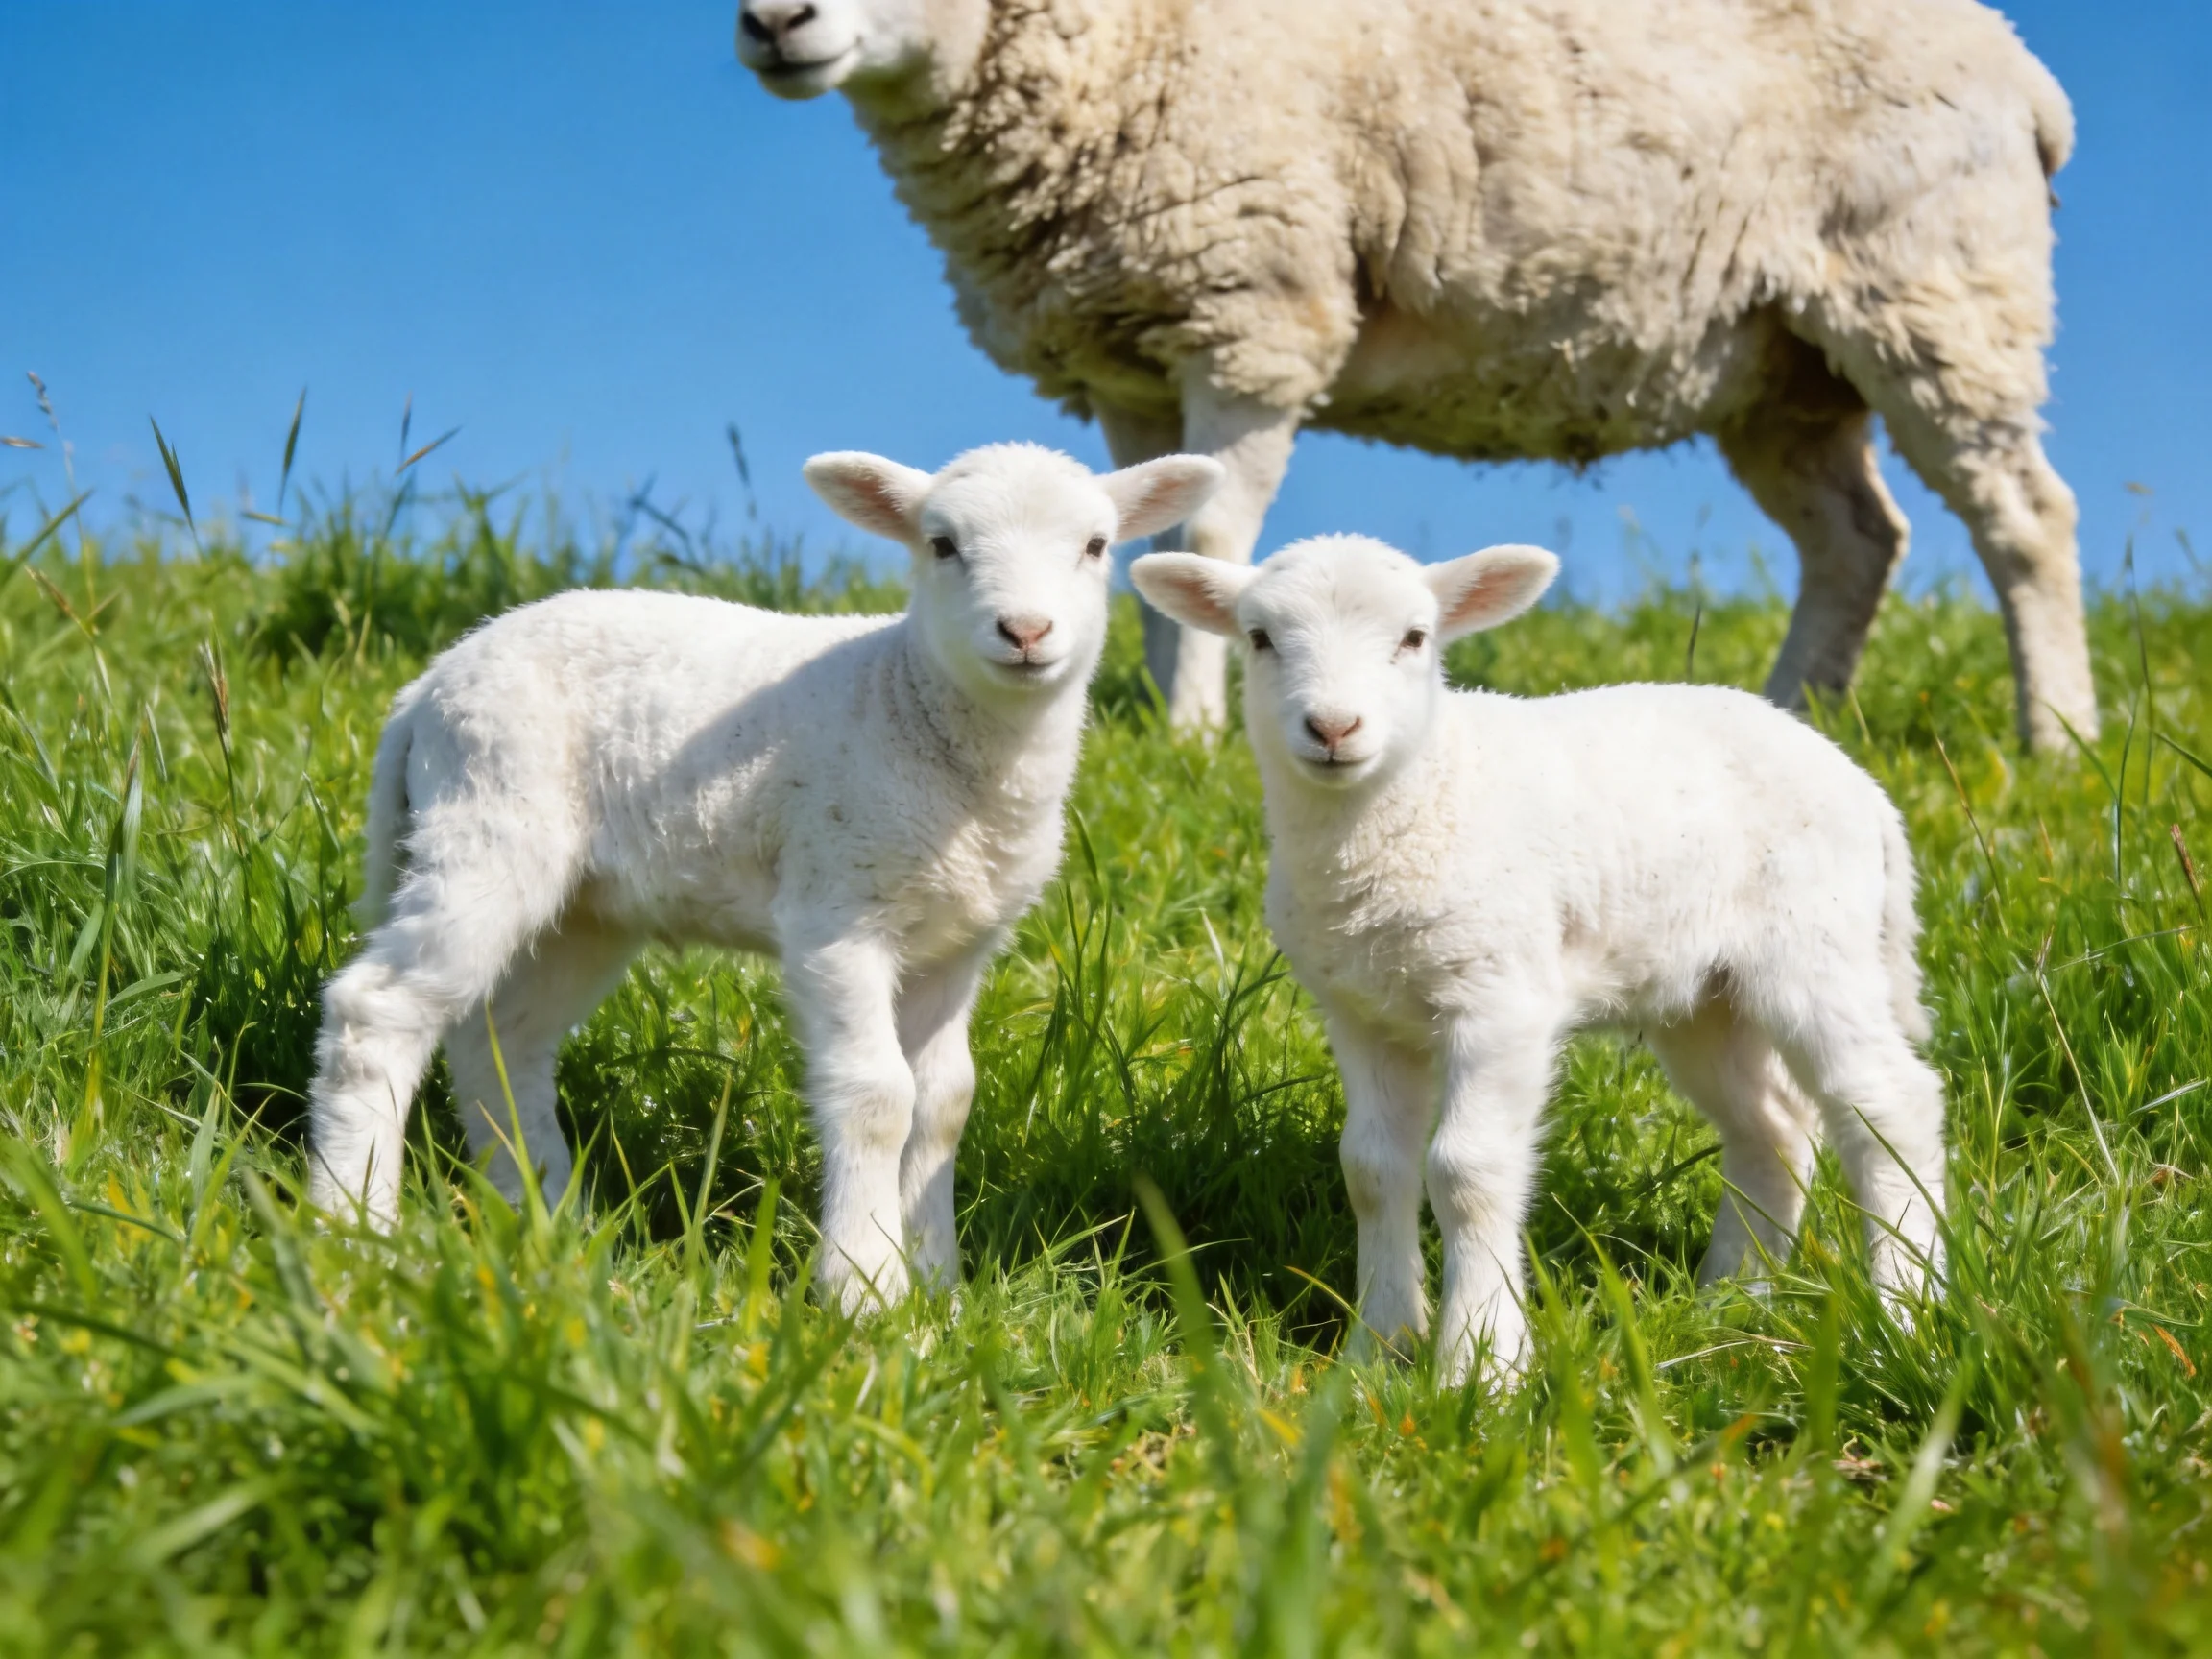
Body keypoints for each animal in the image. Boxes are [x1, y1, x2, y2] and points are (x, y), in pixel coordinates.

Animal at [306, 442, 1223, 1311]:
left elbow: (943, 1105)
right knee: (376, 1014)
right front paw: (865, 1290)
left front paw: (940, 1286)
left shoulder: (956, 944)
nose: (1026, 631)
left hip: (583, 908)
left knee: (503, 1039)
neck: (909, 699)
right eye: (942, 544)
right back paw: (352, 1228)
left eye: (1096, 545)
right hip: (489, 820)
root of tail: (428, 684)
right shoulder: (838, 909)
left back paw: (548, 1220)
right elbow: (877, 1096)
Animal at [736, 0, 2097, 753]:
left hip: (1937, 286)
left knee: (2025, 519)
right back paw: (1797, 709)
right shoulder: (1131, 347)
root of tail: (2026, 70)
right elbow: (1150, 543)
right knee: (1856, 540)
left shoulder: (1253, 306)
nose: (774, 20)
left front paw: (1188, 734)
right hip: (1782, 364)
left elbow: (1214, 531)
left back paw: (2062, 738)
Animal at [1132, 535, 1948, 1384]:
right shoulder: (1360, 1012)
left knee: (1890, 1104)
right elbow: (1372, 1170)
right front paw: (1377, 1352)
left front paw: (1481, 1363)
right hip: (1705, 995)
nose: (1332, 727)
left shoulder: (1500, 1000)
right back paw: (1731, 1301)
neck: (1421, 796)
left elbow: (1467, 1171)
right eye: (1260, 639)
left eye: (1415, 638)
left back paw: (1905, 1313)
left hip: (1814, 944)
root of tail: (1862, 786)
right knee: (1775, 1128)